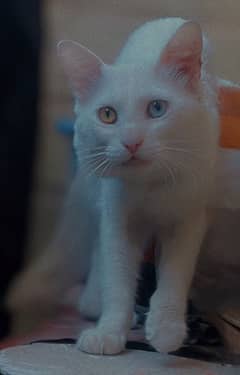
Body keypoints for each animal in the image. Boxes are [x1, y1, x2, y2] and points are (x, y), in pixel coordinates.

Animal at [5, 18, 240, 356]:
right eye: (107, 115)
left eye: (157, 109)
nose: (131, 142)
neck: (151, 186)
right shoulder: (118, 217)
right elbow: (117, 277)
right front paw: (109, 331)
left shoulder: (188, 219)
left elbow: (174, 275)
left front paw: (167, 327)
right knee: (97, 254)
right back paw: (93, 301)